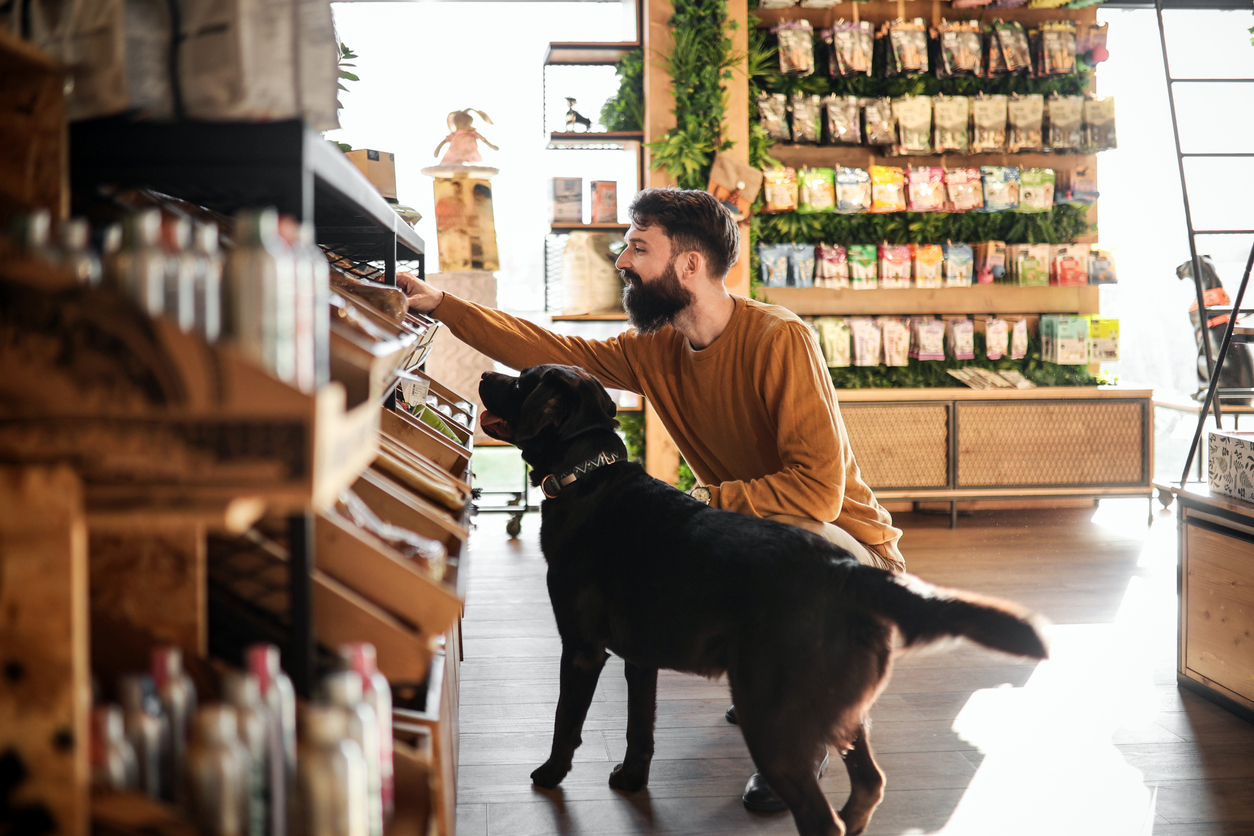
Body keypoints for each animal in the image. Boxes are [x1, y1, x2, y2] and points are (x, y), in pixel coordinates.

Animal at [479, 363, 1048, 836]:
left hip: (772, 714)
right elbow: (640, 728)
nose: (484, 374)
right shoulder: (641, 659)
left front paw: (549, 774)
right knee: (869, 786)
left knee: (821, 818)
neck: (587, 477)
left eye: (522, 381)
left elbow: (565, 722)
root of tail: (845, 571)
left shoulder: (581, 649)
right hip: (844, 710)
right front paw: (630, 780)